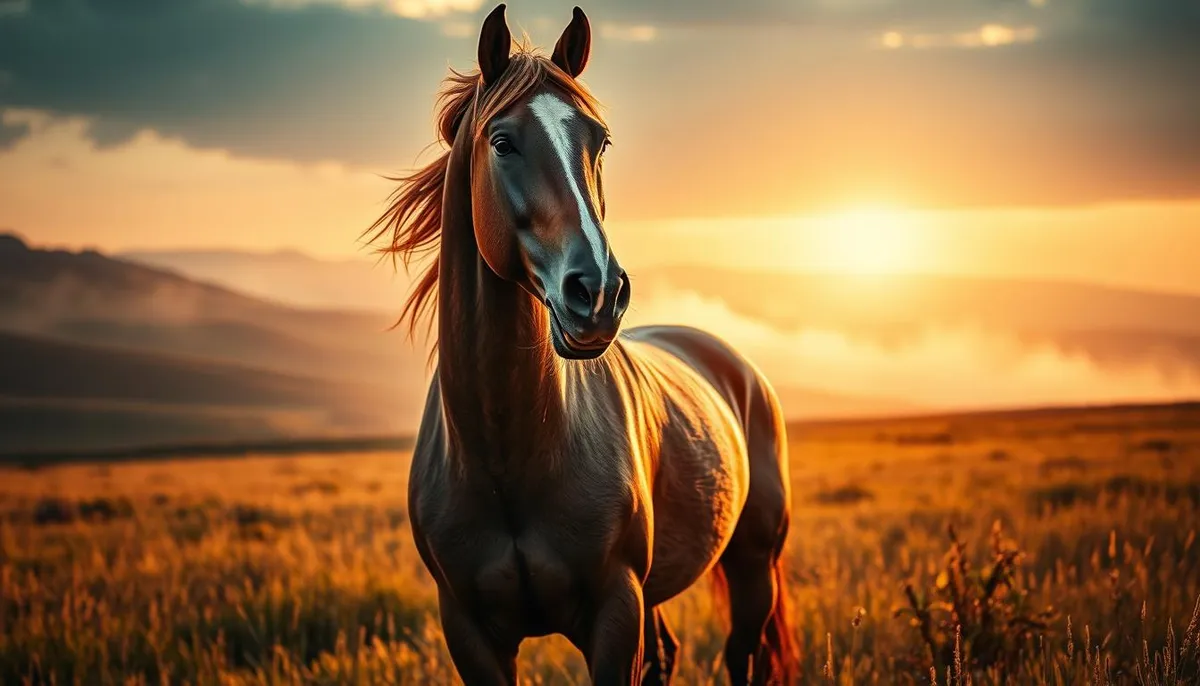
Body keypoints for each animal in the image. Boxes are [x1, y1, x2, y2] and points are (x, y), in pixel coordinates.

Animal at [366, 5, 798, 684]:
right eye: (503, 142)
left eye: (600, 141)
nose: (597, 292)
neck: (509, 456)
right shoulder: (468, 631)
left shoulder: (615, 613)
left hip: (752, 566)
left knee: (741, 655)